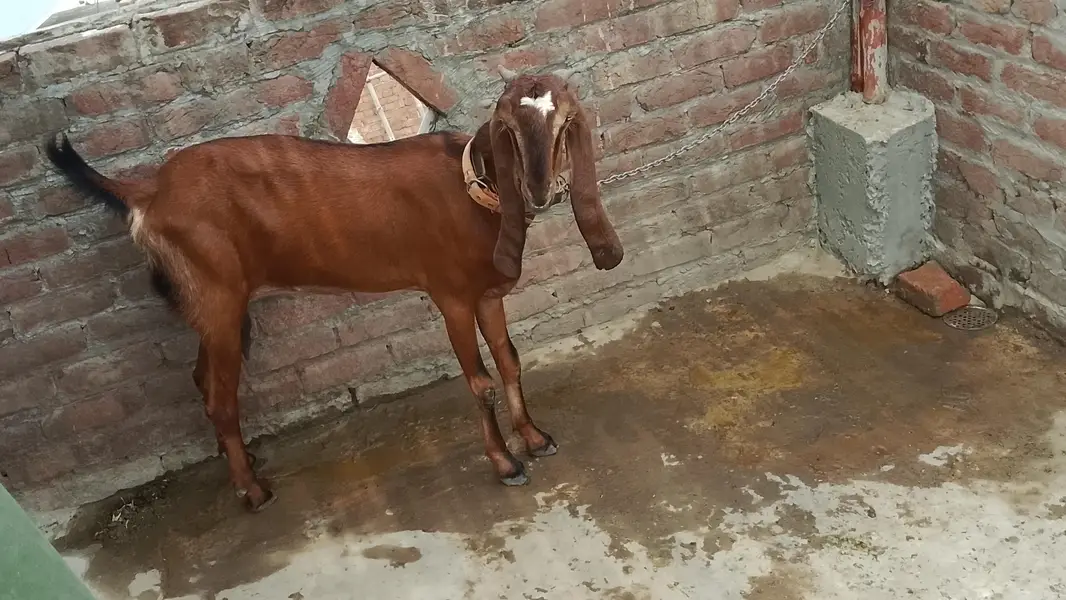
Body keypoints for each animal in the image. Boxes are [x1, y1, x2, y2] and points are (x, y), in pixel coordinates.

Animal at [43, 67, 624, 512]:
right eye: (508, 128)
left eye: (564, 123)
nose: (540, 190)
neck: (467, 192)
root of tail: (145, 192)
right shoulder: (451, 295)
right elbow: (479, 382)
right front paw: (505, 463)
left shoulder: (486, 295)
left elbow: (509, 362)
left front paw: (535, 438)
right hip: (218, 299)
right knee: (218, 394)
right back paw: (252, 491)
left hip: (219, 307)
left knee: (201, 378)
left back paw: (244, 465)